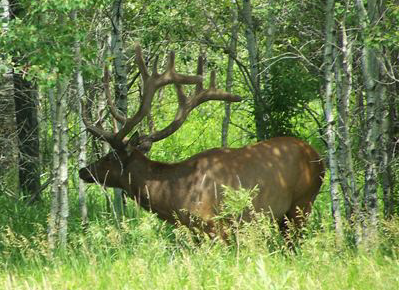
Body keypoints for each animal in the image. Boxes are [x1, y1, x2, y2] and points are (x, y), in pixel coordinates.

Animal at [79, 44, 324, 236]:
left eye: (109, 157)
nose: (83, 170)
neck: (173, 196)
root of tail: (319, 157)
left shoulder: (214, 224)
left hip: (302, 202)